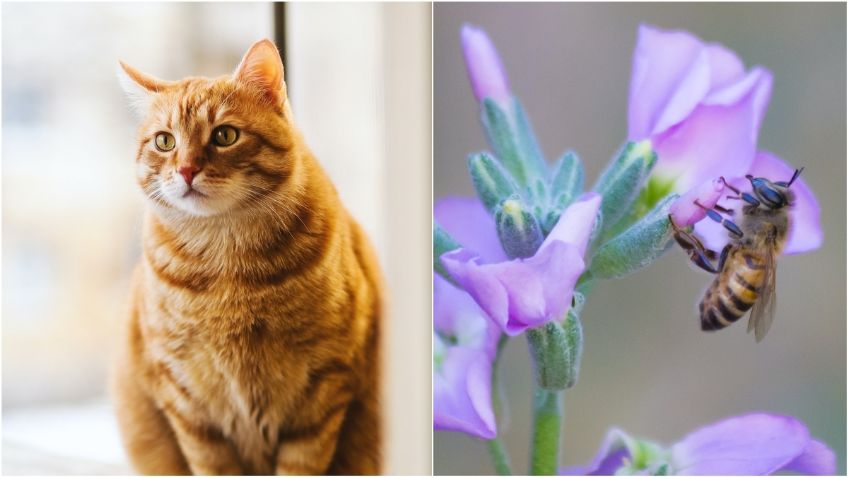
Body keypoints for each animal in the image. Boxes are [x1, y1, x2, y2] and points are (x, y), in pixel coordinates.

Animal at [111, 39, 382, 474]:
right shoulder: (185, 398)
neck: (228, 265)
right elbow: (211, 462)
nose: (186, 170)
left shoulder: (325, 385)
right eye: (165, 141)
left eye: (225, 135)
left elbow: (300, 463)